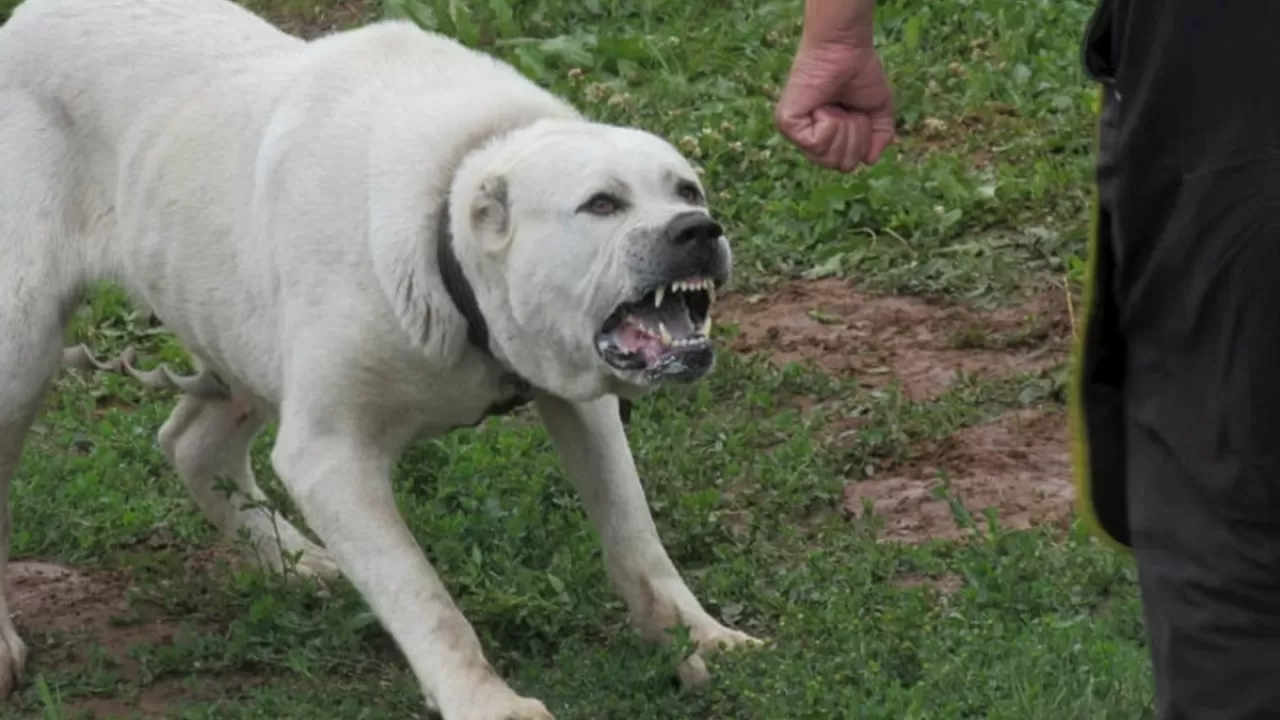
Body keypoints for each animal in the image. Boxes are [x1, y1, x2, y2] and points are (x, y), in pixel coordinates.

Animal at [0, 1, 757, 712]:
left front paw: (701, 640)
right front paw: (486, 702)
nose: (698, 230)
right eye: (601, 204)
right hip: (22, 346)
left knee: (192, 443)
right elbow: (425, 599)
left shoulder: (580, 399)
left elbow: (635, 535)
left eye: (687, 190)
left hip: (236, 328)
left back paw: (294, 561)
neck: (447, 242)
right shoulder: (331, 456)